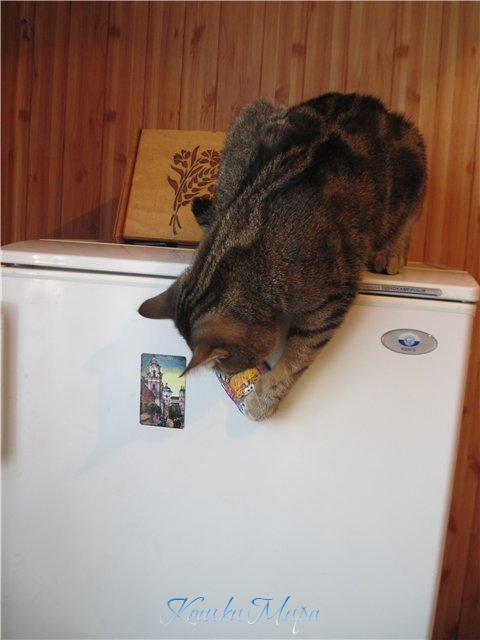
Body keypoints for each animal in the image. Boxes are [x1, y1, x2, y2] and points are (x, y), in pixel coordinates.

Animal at [139, 92, 426, 421]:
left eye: (226, 365)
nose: (230, 377)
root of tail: (379, 106)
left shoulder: (329, 302)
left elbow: (296, 357)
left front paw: (263, 400)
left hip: (413, 160)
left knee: (410, 214)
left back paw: (390, 253)